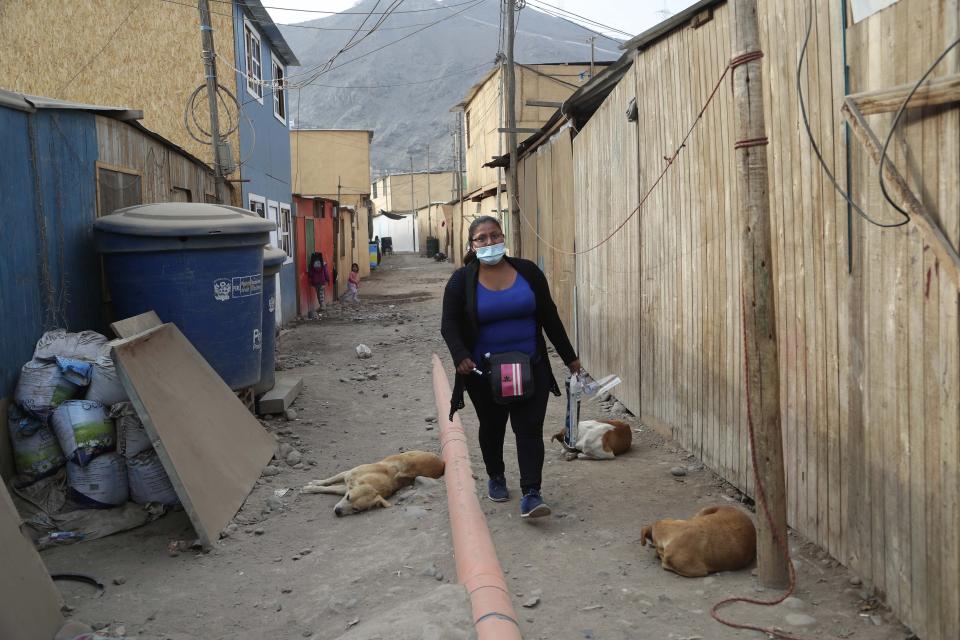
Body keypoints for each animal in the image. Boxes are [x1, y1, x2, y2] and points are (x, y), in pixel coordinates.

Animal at [304, 450, 446, 516]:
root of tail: (442, 463)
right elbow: (330, 481)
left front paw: (311, 488)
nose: (337, 512)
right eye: (348, 497)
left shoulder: (346, 484)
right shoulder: (347, 475)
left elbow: (331, 488)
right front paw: (313, 485)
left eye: (355, 509)